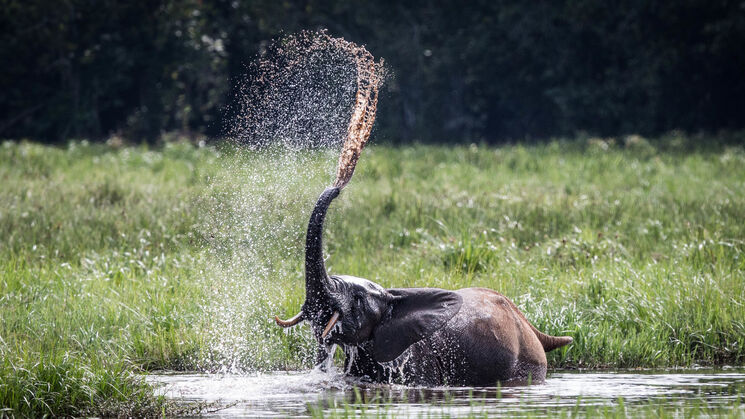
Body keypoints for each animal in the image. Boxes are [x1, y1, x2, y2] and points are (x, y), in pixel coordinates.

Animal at [274, 188, 568, 388]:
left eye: (357, 299)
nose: (336, 189)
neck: (392, 296)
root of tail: (527, 322)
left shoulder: (418, 361)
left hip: (527, 362)